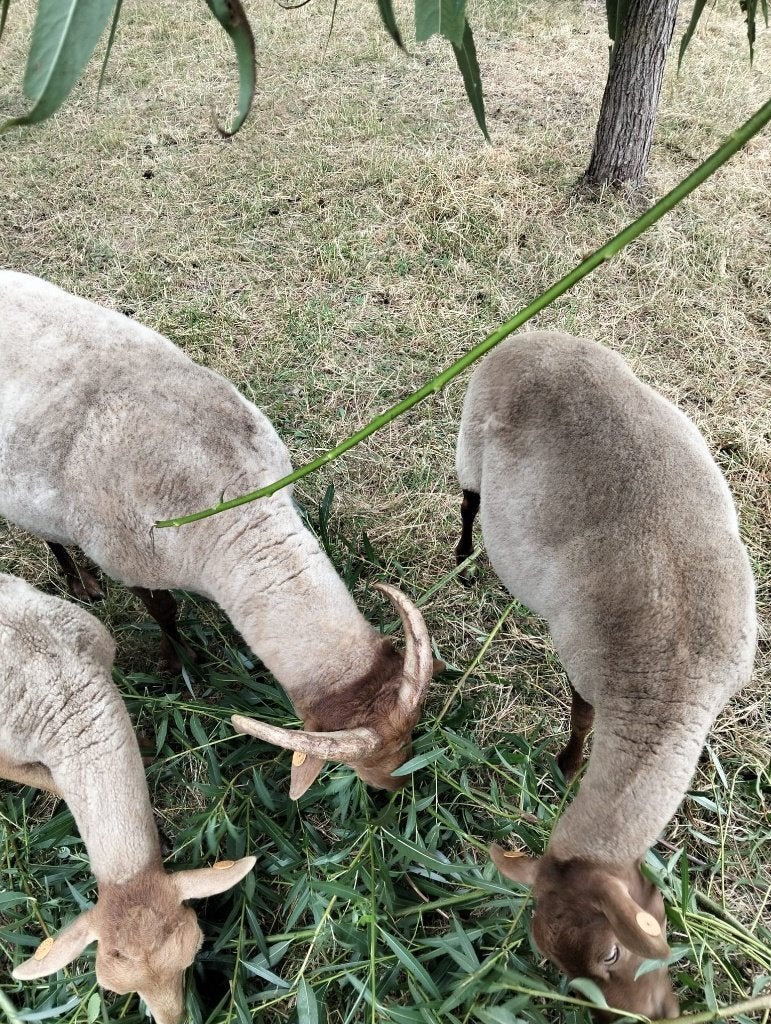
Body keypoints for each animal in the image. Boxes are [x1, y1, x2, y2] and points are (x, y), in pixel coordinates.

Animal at [0, 270, 435, 798]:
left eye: (410, 732)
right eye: (357, 764)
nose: (397, 789)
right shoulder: (133, 560)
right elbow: (164, 611)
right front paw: (181, 662)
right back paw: (79, 581)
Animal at [454, 331, 756, 1018]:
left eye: (613, 951)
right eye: (558, 964)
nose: (650, 1017)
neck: (674, 685)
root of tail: (529, 338)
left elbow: (582, 717)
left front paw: (565, 770)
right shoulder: (592, 668)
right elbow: (582, 719)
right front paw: (567, 770)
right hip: (468, 443)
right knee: (468, 502)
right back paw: (460, 558)